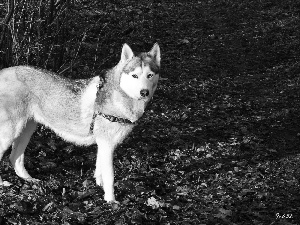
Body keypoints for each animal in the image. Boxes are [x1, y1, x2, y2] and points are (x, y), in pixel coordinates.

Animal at [0, 43, 161, 203]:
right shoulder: (107, 144)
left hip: (26, 130)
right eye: (135, 76)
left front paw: (99, 185)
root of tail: (3, 72)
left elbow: (99, 170)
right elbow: (110, 177)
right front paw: (111, 201)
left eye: (149, 75)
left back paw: (30, 180)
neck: (120, 95)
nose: (144, 92)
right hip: (11, 132)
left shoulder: (103, 144)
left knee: (15, 158)